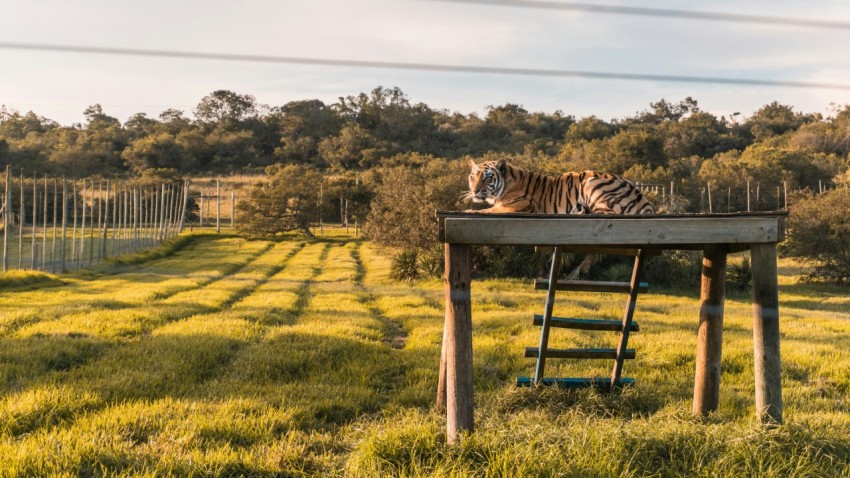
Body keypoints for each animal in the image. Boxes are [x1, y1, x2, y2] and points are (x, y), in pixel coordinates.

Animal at [465, 159, 653, 215]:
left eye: (487, 178)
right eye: (473, 177)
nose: (474, 191)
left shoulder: (515, 207)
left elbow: (486, 211)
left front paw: (469, 211)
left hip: (591, 182)